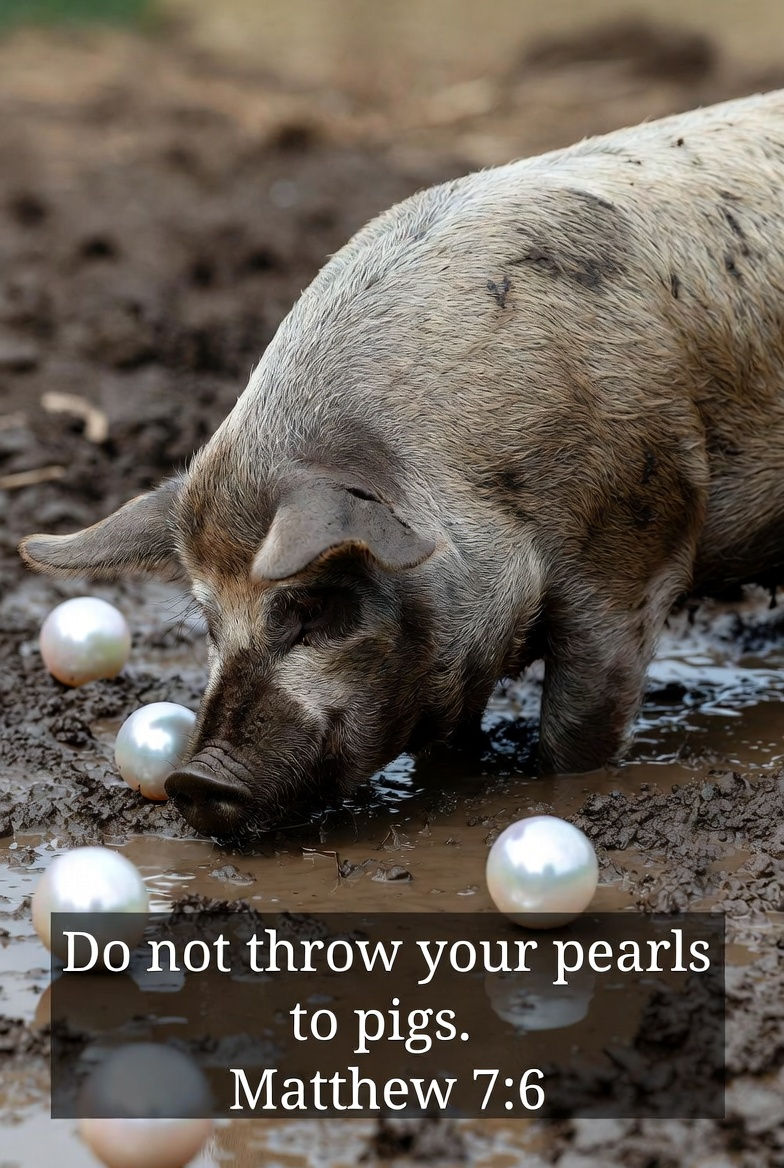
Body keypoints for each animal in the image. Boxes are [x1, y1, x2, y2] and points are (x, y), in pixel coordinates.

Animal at [20, 91, 784, 839]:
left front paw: (555, 791)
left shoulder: (632, 558)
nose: (194, 782)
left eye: (313, 607)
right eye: (207, 622)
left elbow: (577, 729)